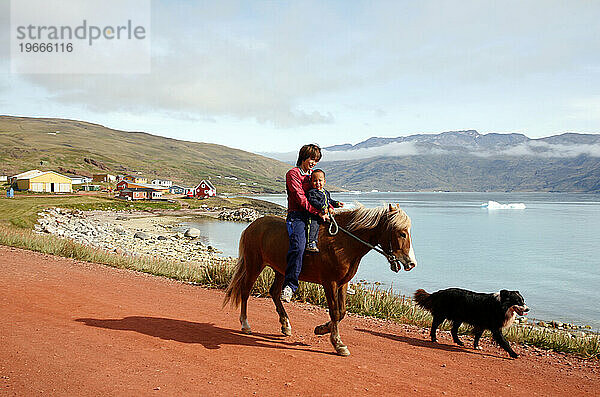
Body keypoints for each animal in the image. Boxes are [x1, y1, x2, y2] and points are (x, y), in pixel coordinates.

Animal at [225, 204, 418, 356]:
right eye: (402, 233)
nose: (411, 263)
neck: (342, 242)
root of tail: (251, 226)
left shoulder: (342, 284)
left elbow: (342, 312)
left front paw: (322, 329)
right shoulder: (329, 283)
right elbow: (334, 312)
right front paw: (338, 343)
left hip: (281, 270)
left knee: (274, 293)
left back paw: (285, 324)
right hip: (254, 265)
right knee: (245, 291)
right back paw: (245, 324)